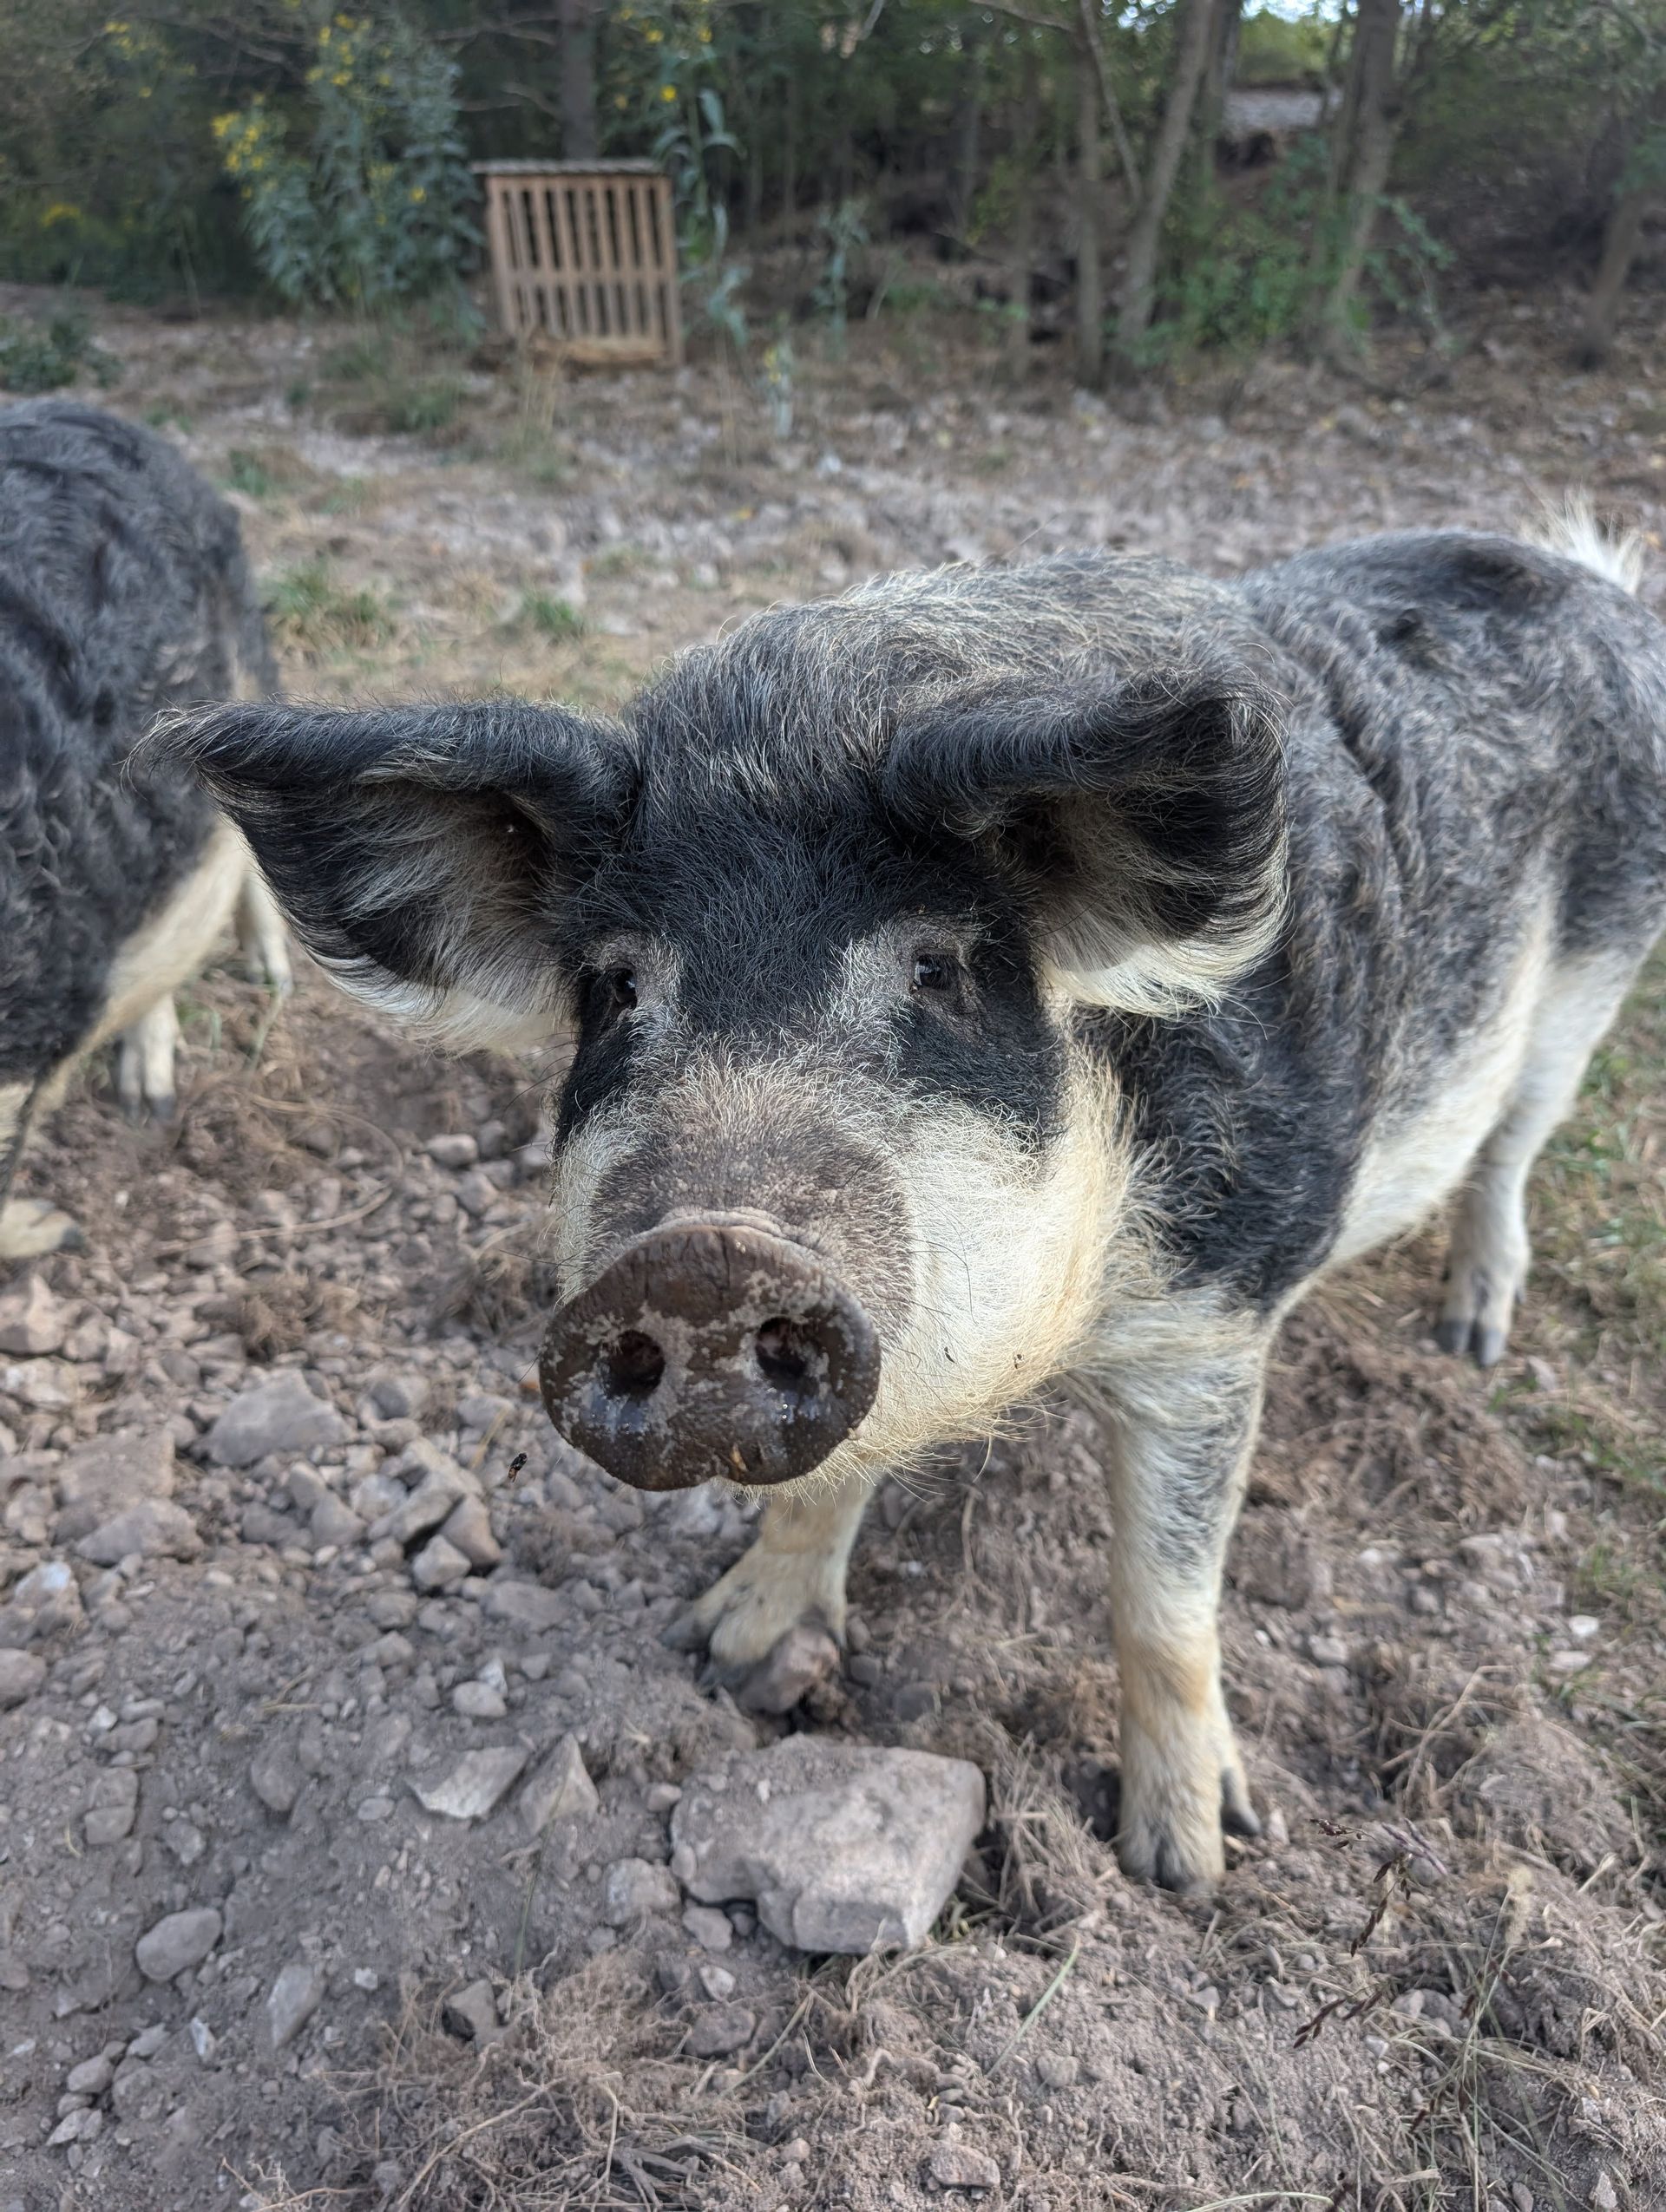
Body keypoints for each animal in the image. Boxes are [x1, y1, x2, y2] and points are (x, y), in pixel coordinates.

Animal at [163, 516, 1666, 1891]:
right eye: (613, 987)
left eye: (938, 969)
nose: (706, 1253)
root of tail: (1588, 576)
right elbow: (825, 1484)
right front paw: (729, 1653)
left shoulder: (1213, 1315)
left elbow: (1164, 1595)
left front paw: (1188, 1864)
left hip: (1586, 992)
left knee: (1513, 1147)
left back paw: (1473, 1337)